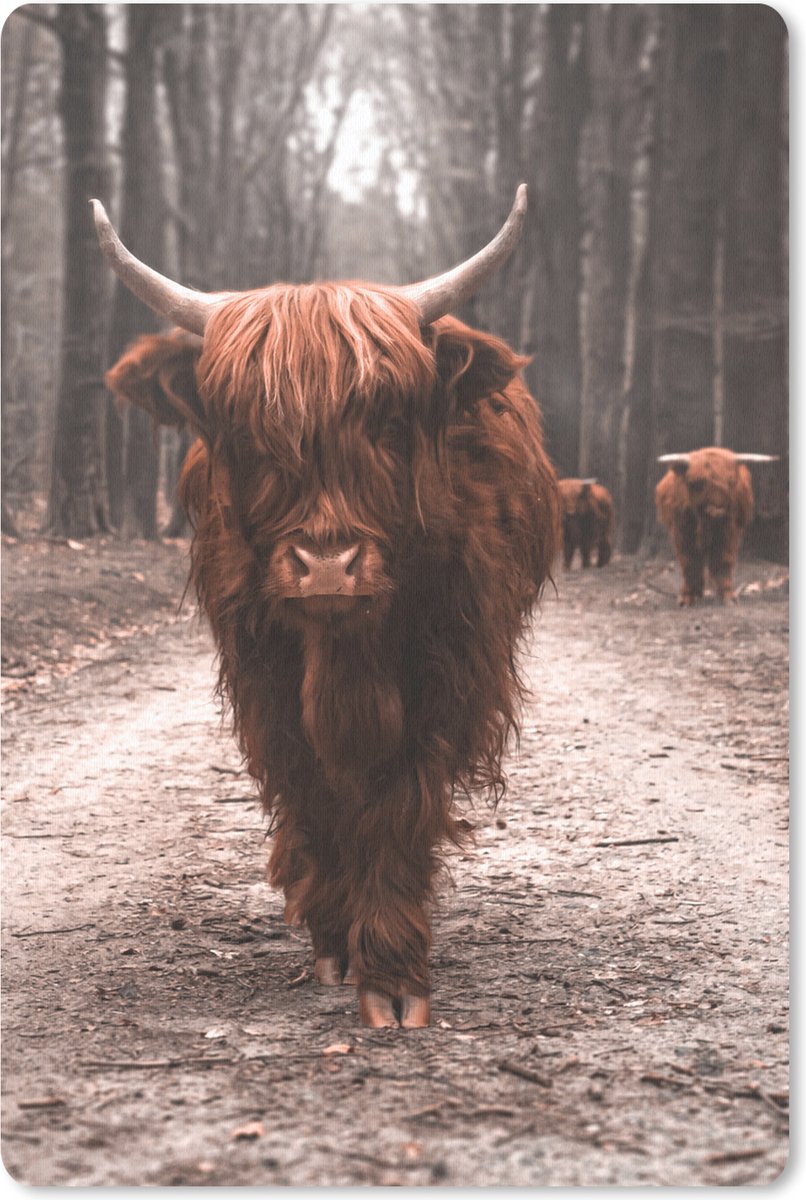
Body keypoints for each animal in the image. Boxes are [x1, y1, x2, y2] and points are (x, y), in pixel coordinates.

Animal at [94, 186, 560, 1028]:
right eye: (248, 433)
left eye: (388, 422)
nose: (327, 568)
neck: (344, 654)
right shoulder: (265, 679)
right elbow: (314, 794)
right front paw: (338, 942)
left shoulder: (446, 672)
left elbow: (398, 800)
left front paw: (395, 974)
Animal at [655, 447, 777, 606]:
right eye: (695, 483)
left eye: (731, 482)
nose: (717, 511)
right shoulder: (682, 533)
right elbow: (690, 562)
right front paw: (687, 598)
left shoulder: (729, 533)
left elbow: (722, 561)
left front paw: (727, 597)